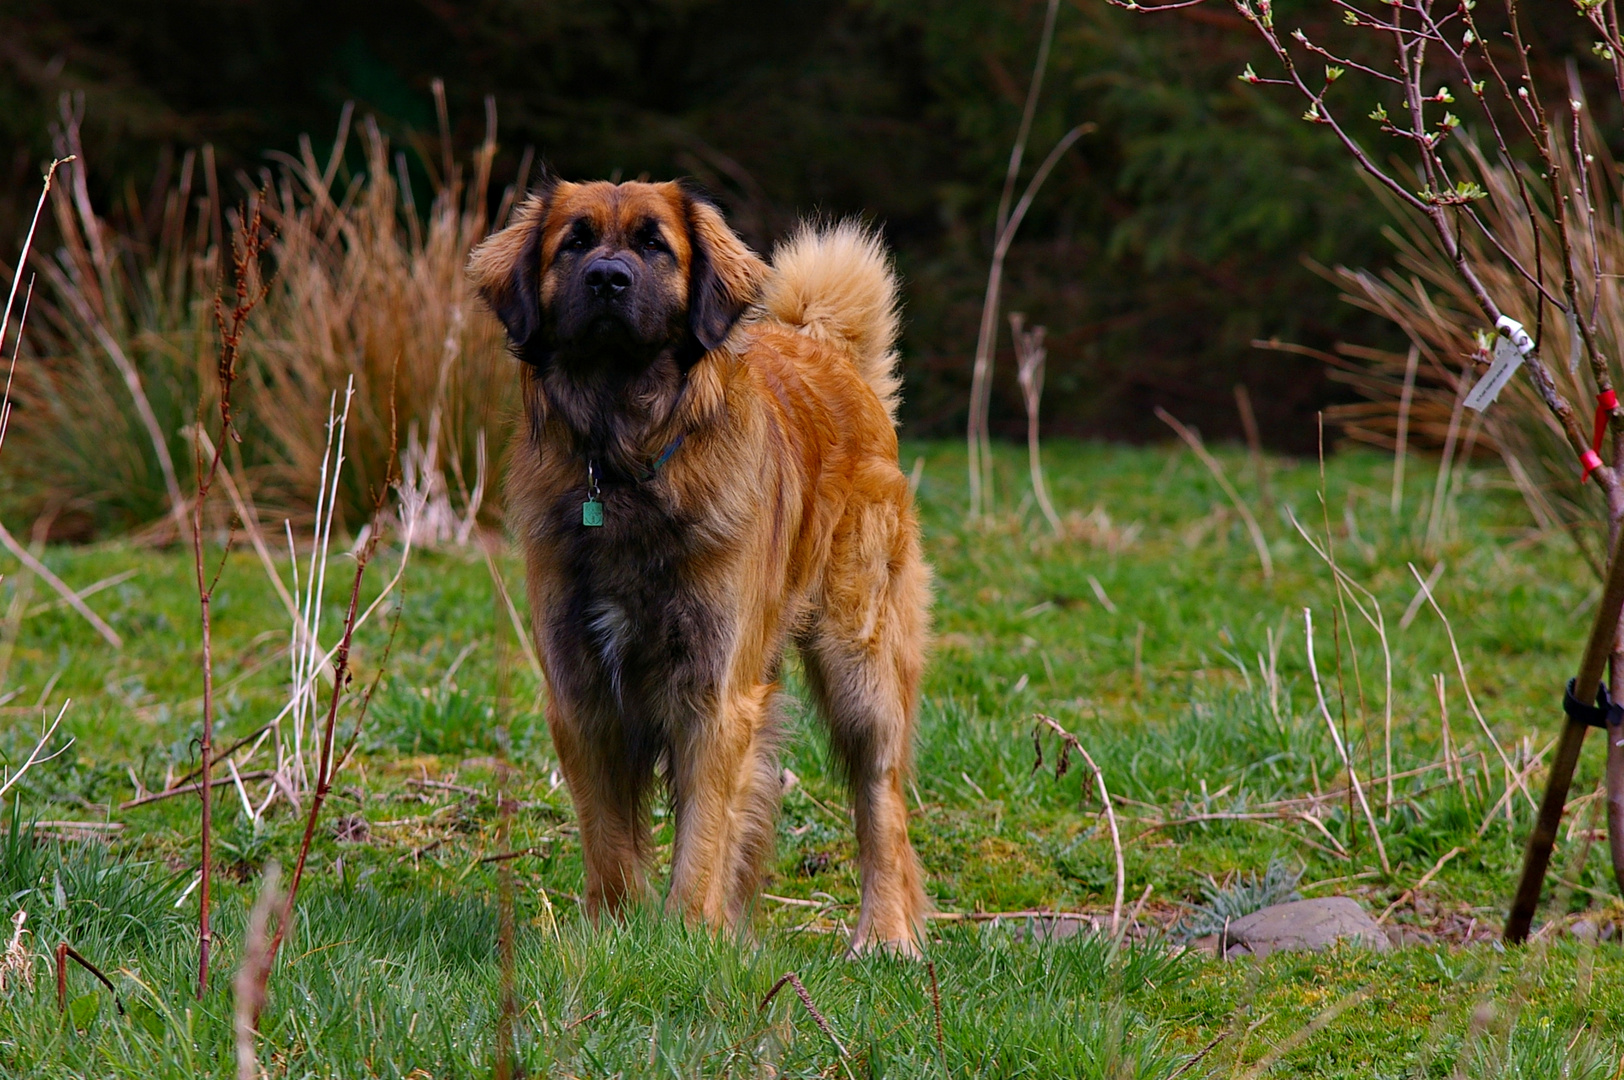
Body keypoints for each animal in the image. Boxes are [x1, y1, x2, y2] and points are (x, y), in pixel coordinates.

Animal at [464, 177, 935, 954]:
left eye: (656, 245)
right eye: (575, 243)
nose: (608, 279)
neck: (622, 462)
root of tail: (826, 351)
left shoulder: (714, 695)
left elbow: (702, 837)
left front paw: (685, 938)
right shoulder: (581, 692)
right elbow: (610, 837)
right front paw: (615, 932)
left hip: (860, 668)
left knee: (881, 806)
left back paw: (886, 934)